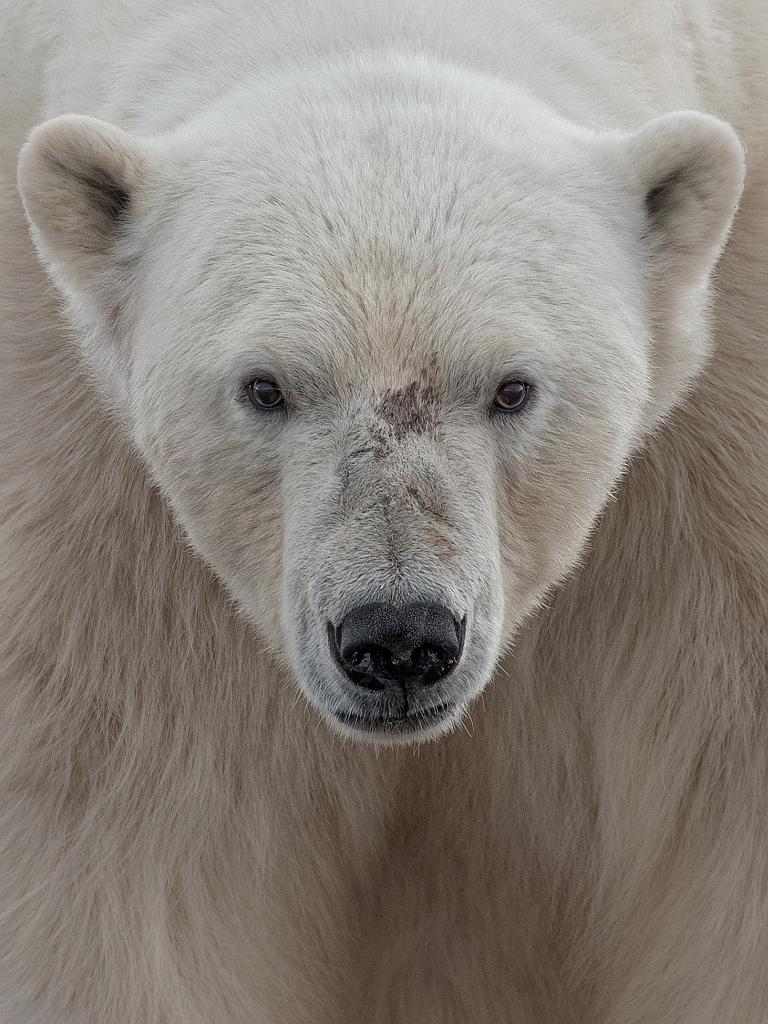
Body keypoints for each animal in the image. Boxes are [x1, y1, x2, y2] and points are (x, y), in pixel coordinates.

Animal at [1, 0, 768, 1019]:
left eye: (514, 387)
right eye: (266, 387)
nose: (398, 638)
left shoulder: (721, 476)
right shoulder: (77, 499)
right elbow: (99, 836)